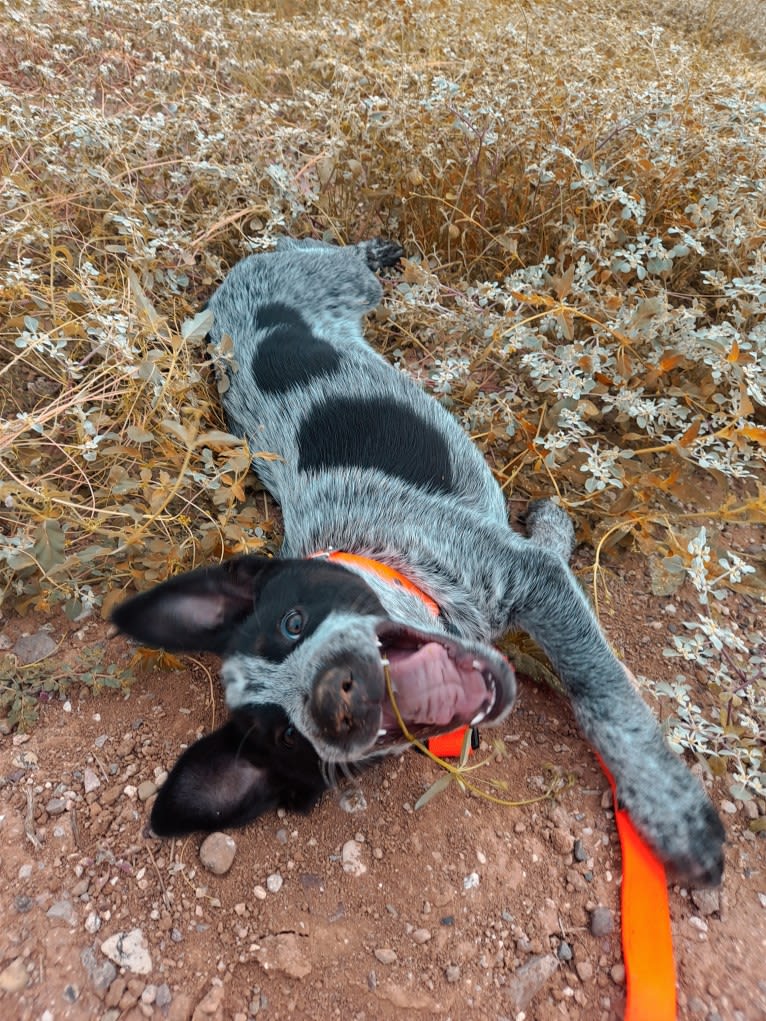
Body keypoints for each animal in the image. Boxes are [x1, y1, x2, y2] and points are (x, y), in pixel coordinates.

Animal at [112, 236, 727, 886]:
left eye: (293, 622)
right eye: (288, 737)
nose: (335, 695)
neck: (395, 562)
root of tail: (229, 289)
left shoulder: (527, 577)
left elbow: (604, 698)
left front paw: (672, 815)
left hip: (342, 280)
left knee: (323, 249)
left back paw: (369, 248)